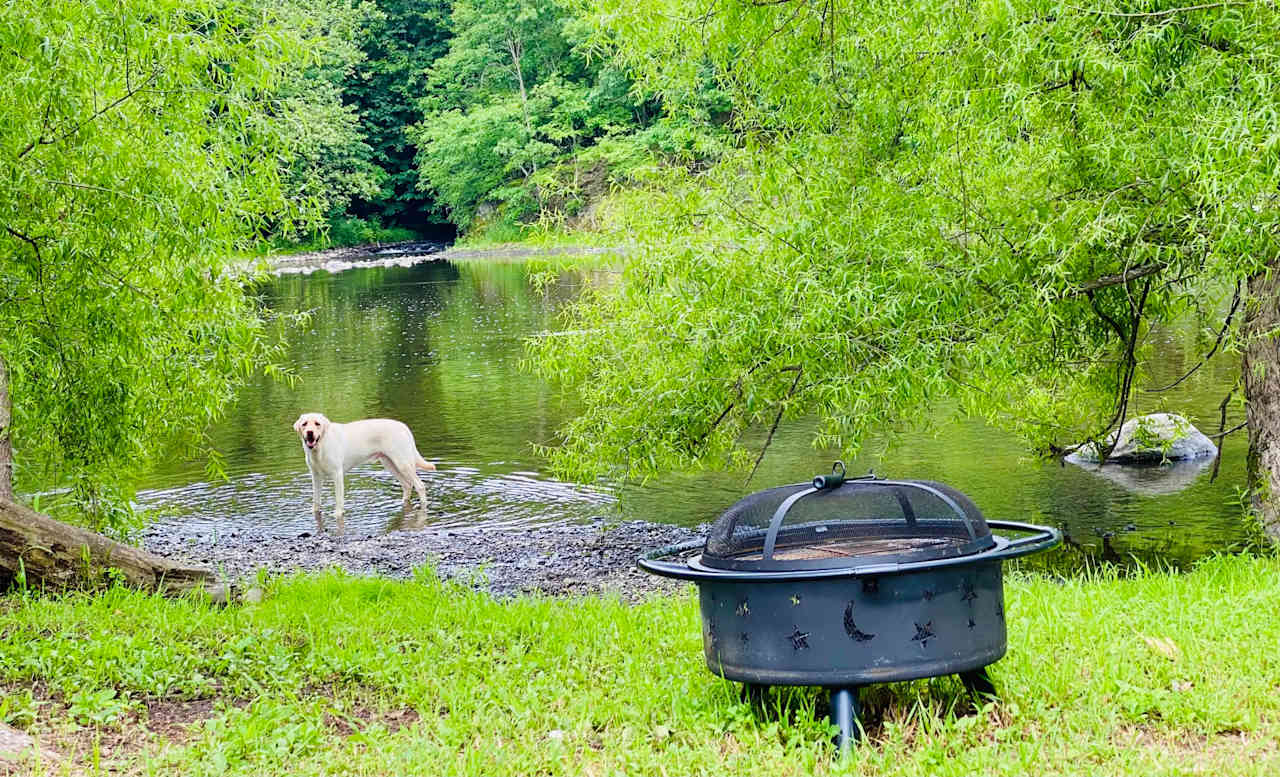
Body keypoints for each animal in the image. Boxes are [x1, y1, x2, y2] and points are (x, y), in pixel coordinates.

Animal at [293, 409, 435, 524]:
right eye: (304, 424)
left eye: (317, 424)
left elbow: (338, 499)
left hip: (402, 463)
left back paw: (423, 506)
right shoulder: (316, 476)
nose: (310, 433)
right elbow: (316, 500)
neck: (320, 448)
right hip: (389, 463)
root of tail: (403, 426)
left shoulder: (337, 475)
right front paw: (314, 512)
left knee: (420, 485)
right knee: (407, 485)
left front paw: (337, 515)